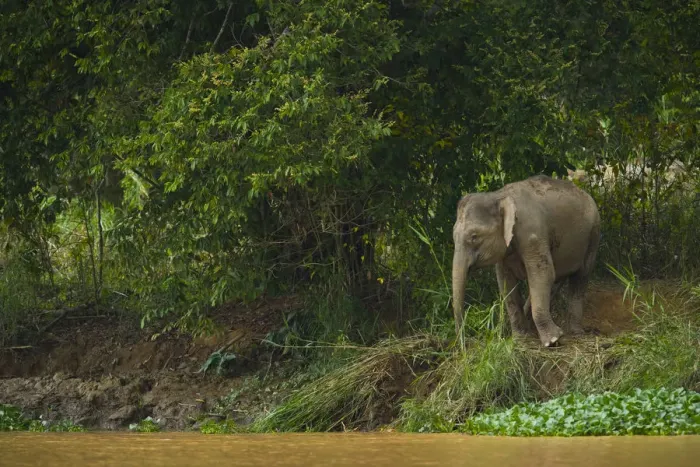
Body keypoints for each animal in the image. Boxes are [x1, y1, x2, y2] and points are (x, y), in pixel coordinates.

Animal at [451, 175, 601, 347]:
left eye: (474, 237)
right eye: (453, 236)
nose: (463, 345)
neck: (499, 196)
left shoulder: (532, 234)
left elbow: (542, 274)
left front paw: (553, 340)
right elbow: (505, 282)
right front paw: (520, 338)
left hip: (593, 235)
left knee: (580, 277)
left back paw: (575, 332)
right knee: (557, 279)